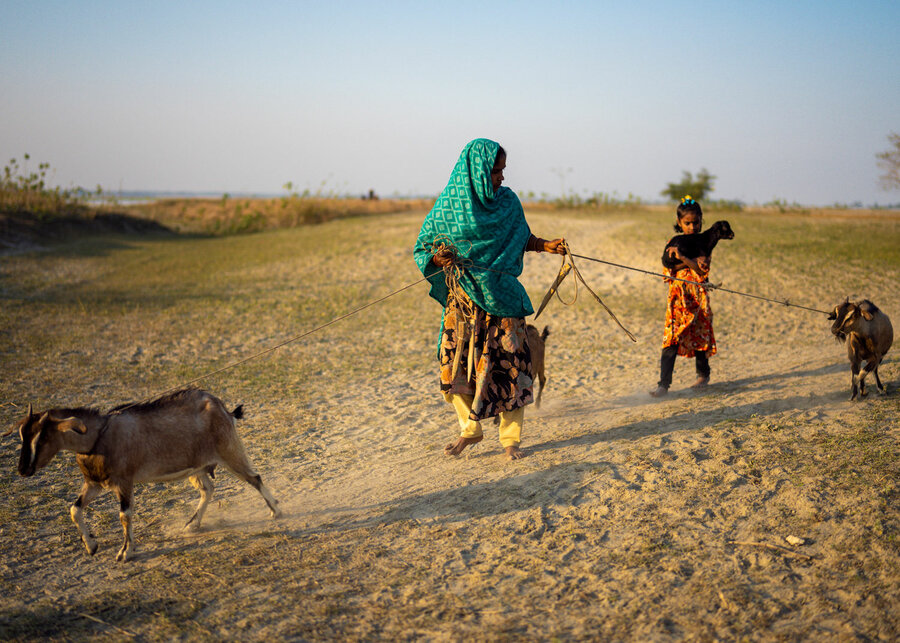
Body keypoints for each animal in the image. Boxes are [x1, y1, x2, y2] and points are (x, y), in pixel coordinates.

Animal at [5, 388, 280, 564]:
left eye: (42, 437)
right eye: (21, 435)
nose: (23, 470)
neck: (98, 436)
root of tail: (222, 407)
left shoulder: (124, 482)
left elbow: (124, 515)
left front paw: (125, 553)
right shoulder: (94, 483)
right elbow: (74, 509)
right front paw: (92, 545)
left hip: (229, 451)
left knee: (254, 478)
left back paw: (276, 511)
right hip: (197, 467)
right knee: (208, 489)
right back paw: (192, 525)